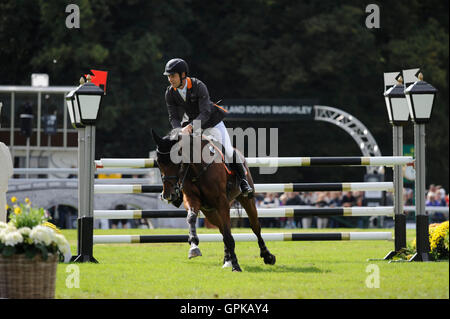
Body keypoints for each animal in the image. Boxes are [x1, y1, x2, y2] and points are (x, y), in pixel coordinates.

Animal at [151, 129, 274, 274]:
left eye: (176, 161)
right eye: (158, 162)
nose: (168, 195)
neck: (197, 169)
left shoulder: (222, 203)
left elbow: (229, 235)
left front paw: (236, 266)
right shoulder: (192, 199)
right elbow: (191, 218)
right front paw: (193, 246)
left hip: (245, 199)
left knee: (255, 226)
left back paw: (267, 256)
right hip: (210, 212)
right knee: (222, 230)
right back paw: (227, 259)